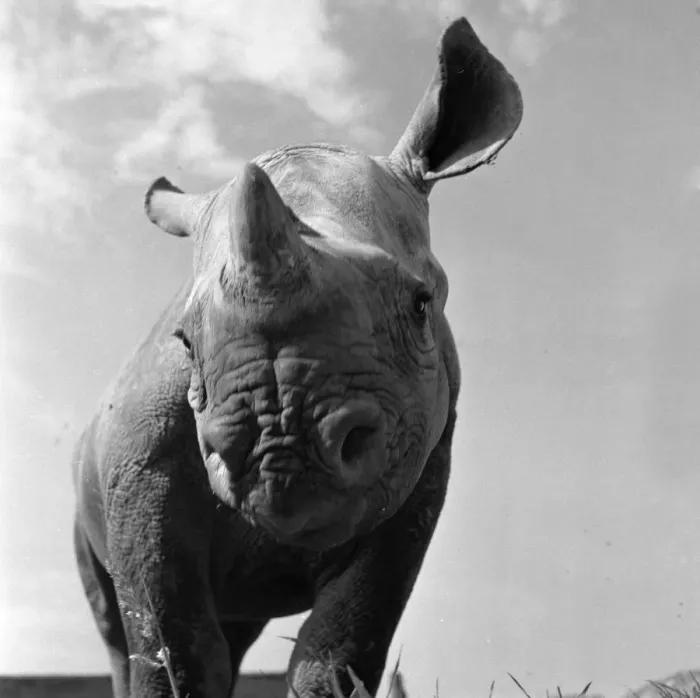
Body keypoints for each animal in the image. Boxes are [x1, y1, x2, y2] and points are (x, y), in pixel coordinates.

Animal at [72, 17, 522, 698]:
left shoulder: (421, 468)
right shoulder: (140, 470)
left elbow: (342, 642)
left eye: (421, 306)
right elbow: (172, 645)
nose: (279, 450)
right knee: (117, 630)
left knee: (236, 625)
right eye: (184, 343)